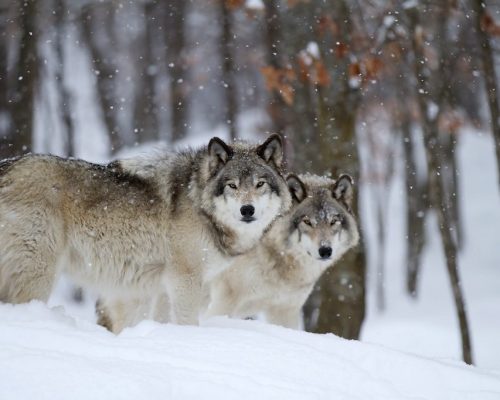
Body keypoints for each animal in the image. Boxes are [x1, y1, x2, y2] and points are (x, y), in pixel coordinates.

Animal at [0, 134, 292, 324]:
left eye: (260, 184)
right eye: (232, 185)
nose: (247, 210)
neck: (199, 202)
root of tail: (7, 166)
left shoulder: (161, 287)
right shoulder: (184, 280)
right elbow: (187, 322)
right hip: (38, 276)